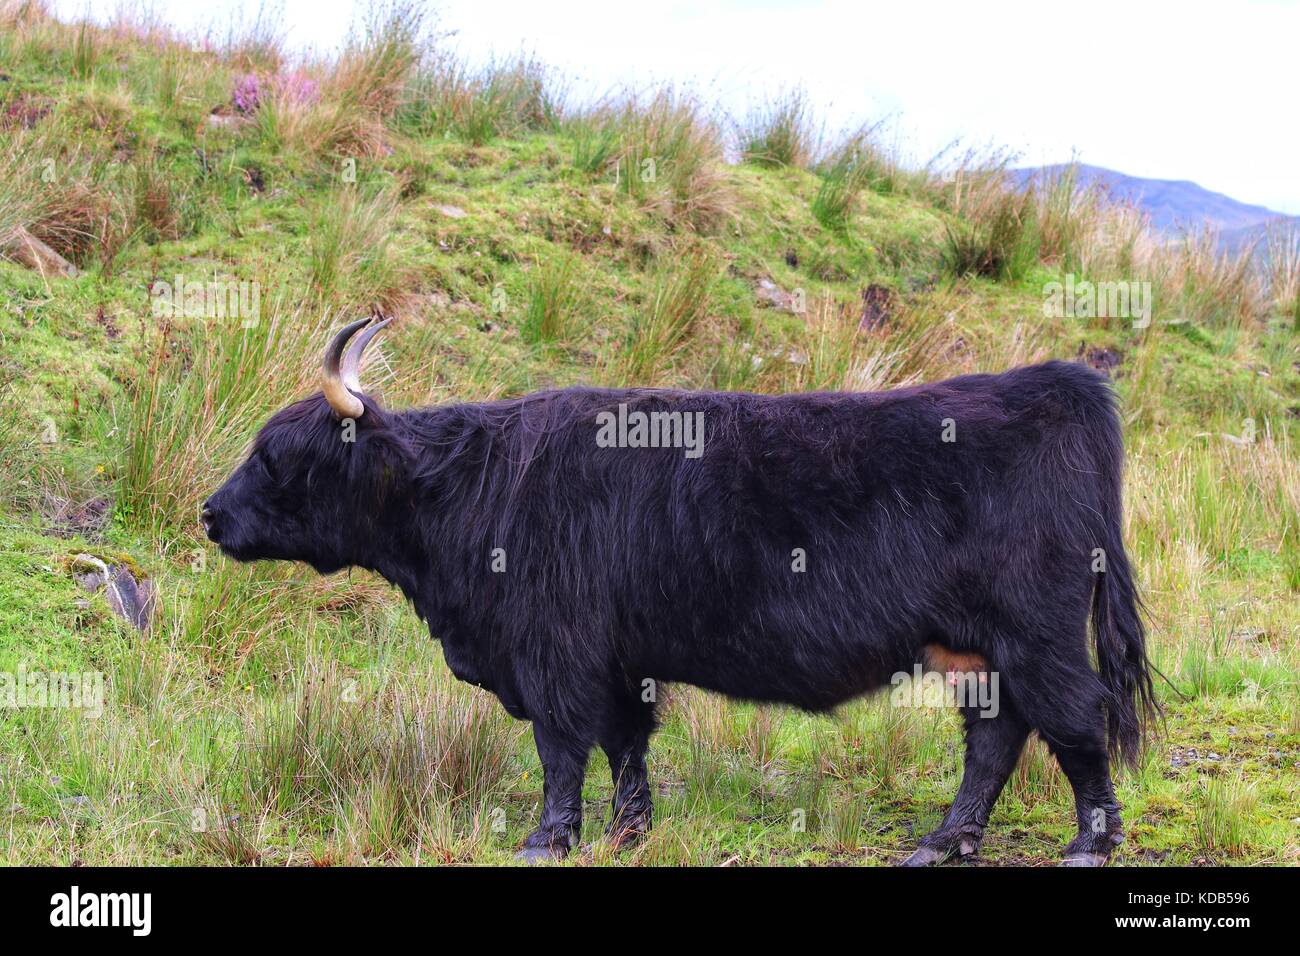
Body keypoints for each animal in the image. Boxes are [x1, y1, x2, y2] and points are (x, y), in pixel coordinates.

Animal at [205, 319, 1159, 868]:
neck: (470, 491)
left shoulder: (555, 653)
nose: (209, 514)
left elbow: (562, 749)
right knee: (995, 739)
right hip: (979, 648)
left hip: (1036, 634)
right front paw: (630, 830)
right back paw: (942, 842)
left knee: (1076, 720)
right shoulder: (619, 657)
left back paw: (1089, 844)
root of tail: (1053, 381)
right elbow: (627, 743)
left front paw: (547, 841)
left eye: (276, 455)